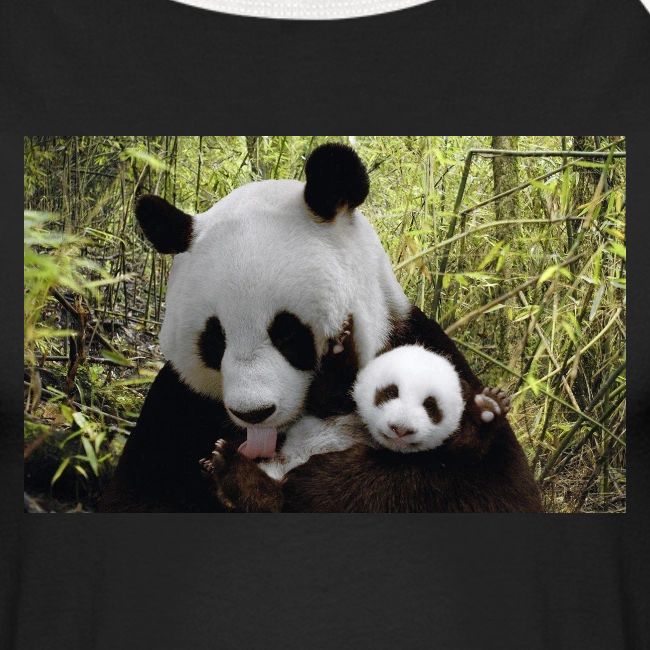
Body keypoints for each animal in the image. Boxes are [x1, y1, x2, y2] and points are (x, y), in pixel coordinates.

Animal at [99, 143, 540, 513]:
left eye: (288, 333)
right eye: (214, 340)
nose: (254, 413)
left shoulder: (421, 348)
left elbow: (486, 488)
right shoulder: (178, 404)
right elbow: (139, 493)